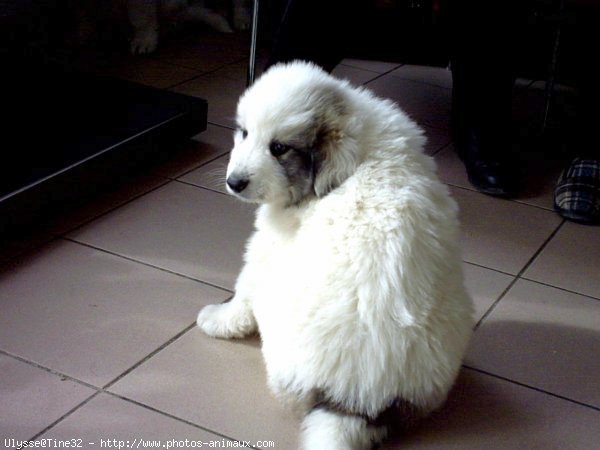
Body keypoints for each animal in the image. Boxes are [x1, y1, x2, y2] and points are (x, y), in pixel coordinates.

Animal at [197, 61, 474, 448]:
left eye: (279, 147)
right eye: (244, 133)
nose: (234, 182)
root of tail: (356, 403)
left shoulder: (268, 246)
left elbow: (243, 290)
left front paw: (218, 318)